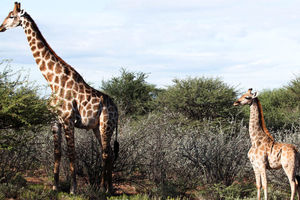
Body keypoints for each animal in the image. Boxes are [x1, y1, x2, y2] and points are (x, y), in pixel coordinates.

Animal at [0, 2, 119, 195]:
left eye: (11, 16)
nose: (1, 27)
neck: (52, 81)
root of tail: (117, 109)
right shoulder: (55, 121)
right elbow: (57, 153)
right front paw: (55, 186)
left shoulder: (68, 119)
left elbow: (71, 154)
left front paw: (73, 189)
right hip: (96, 127)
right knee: (107, 153)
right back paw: (109, 189)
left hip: (106, 125)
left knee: (106, 153)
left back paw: (102, 188)